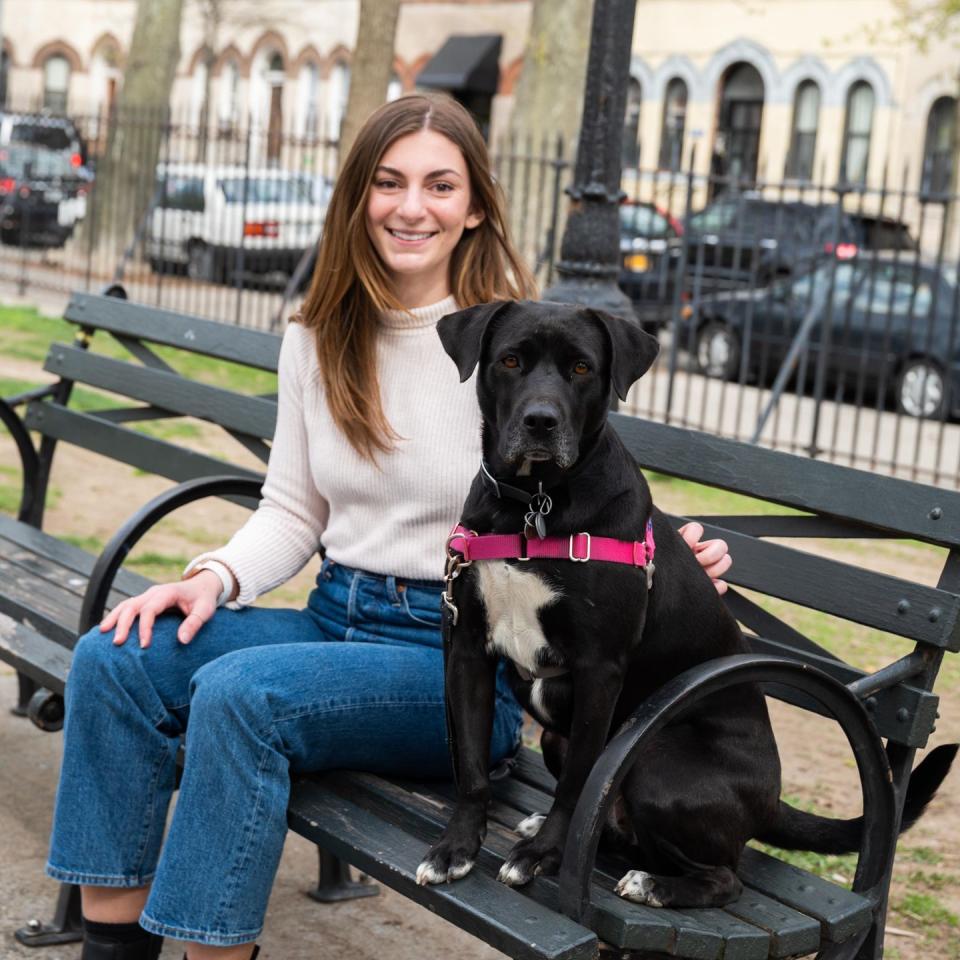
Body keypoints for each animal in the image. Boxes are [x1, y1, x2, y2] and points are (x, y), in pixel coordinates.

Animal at [416, 302, 956, 908]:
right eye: (510, 361)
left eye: (581, 368)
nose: (540, 422)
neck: (535, 505)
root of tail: (772, 801)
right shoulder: (468, 650)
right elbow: (471, 765)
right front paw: (456, 849)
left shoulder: (599, 669)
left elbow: (578, 783)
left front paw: (541, 856)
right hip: (563, 737)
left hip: (656, 759)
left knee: (725, 878)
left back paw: (651, 883)